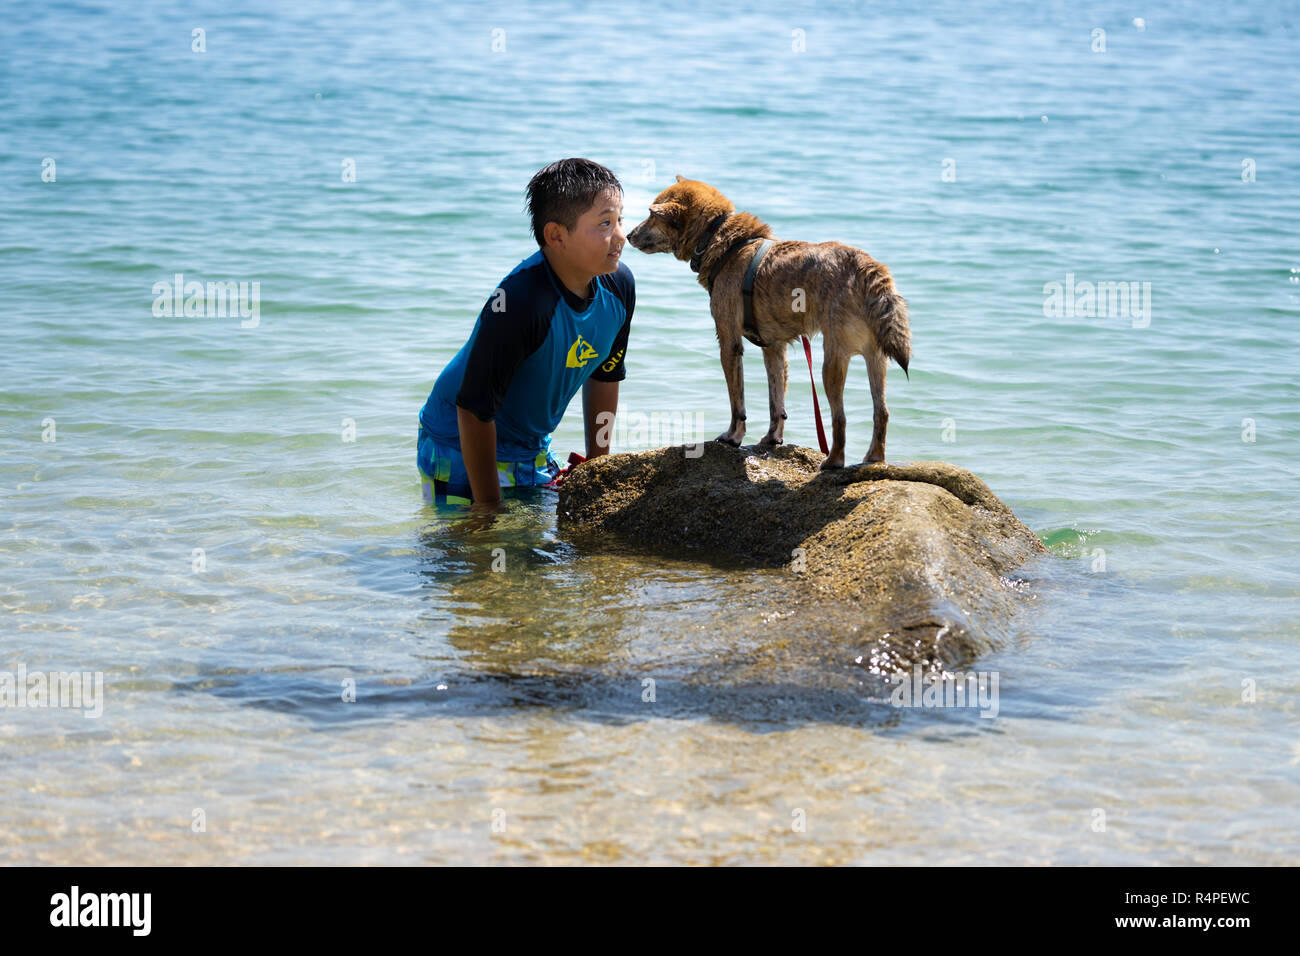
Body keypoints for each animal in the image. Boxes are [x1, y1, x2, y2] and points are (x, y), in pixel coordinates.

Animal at [624, 178, 909, 468]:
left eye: (652, 214)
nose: (628, 235)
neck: (720, 239)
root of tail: (868, 266)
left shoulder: (729, 343)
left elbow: (737, 402)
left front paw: (733, 436)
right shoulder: (774, 348)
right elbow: (776, 403)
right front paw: (772, 438)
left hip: (833, 360)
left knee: (840, 418)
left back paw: (833, 461)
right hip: (876, 358)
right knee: (882, 412)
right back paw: (873, 457)